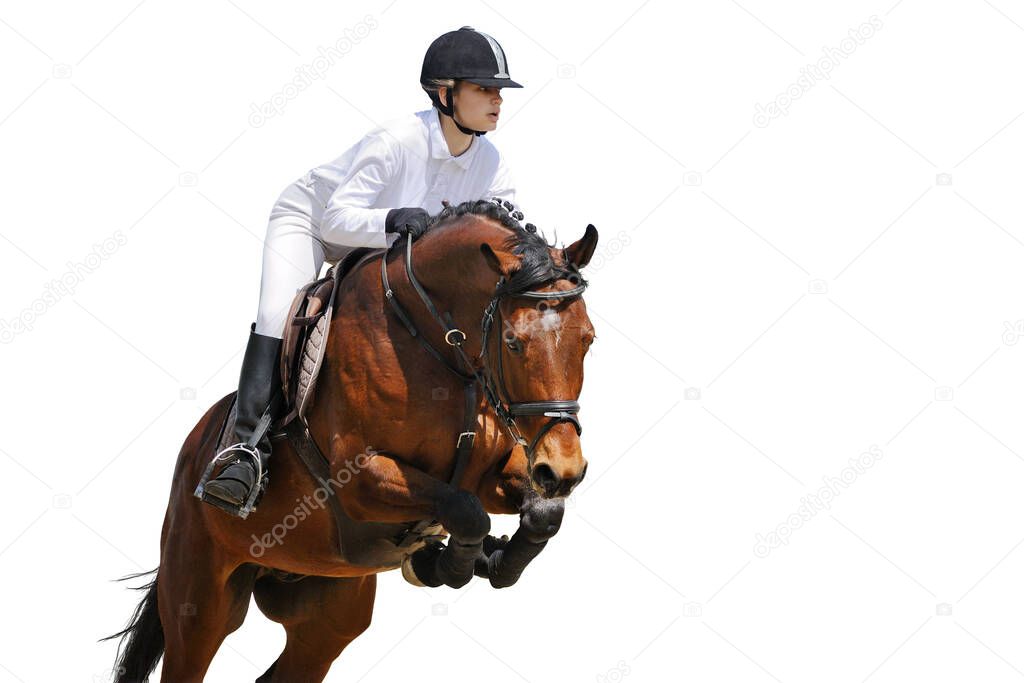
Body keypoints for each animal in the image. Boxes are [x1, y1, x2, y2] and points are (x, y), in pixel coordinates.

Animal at [101, 200, 598, 679]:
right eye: (513, 342)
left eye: (588, 340)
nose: (564, 471)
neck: (437, 345)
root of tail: (193, 452)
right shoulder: (360, 478)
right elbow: (465, 510)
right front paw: (445, 564)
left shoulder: (495, 473)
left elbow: (541, 513)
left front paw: (484, 560)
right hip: (199, 601)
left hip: (327, 614)